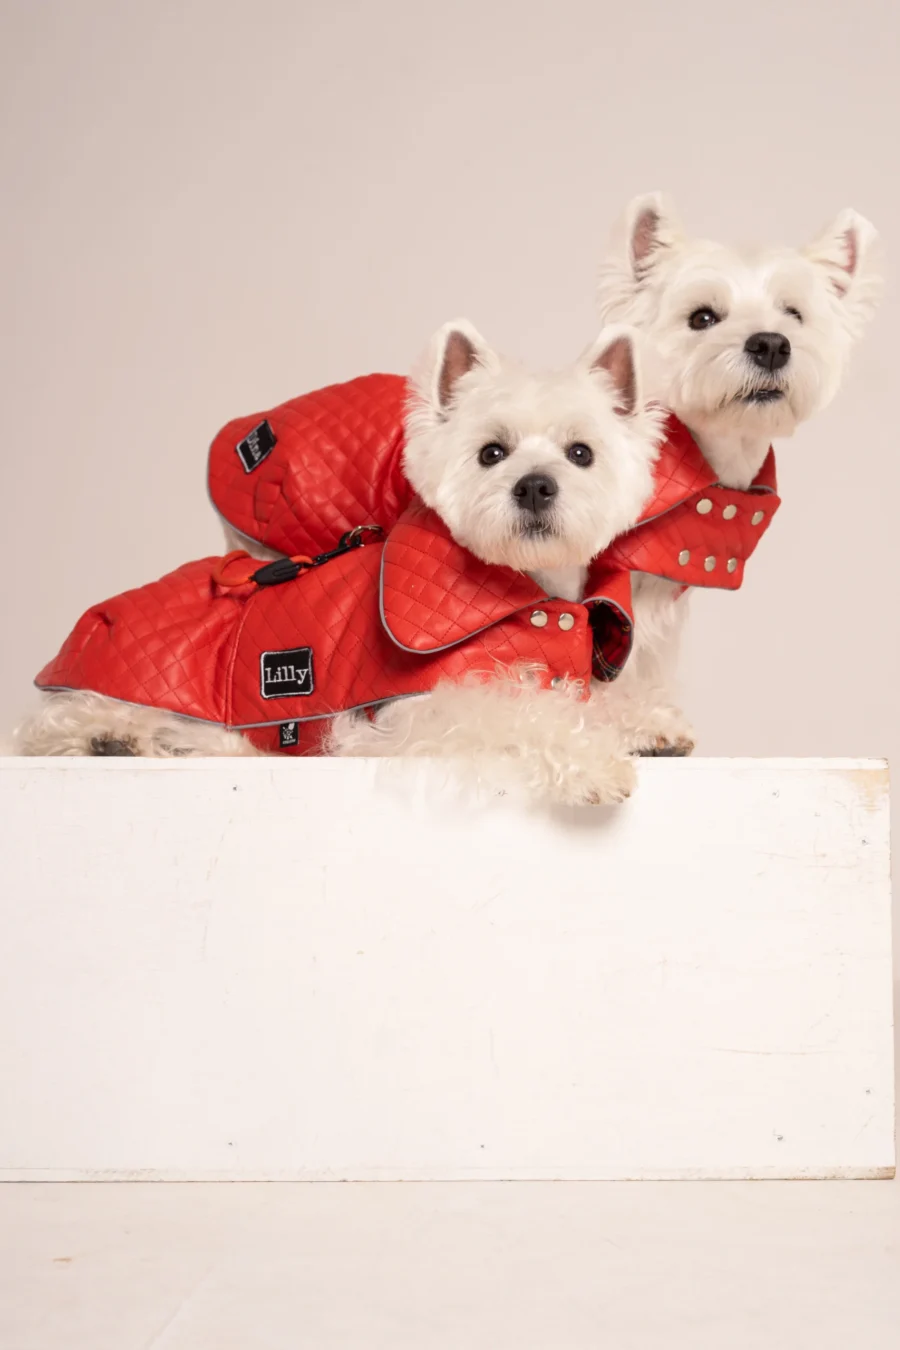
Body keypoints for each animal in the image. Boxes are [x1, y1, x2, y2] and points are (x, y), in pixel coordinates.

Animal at [19, 321, 669, 804]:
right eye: (491, 452)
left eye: (581, 452)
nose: (534, 486)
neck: (527, 590)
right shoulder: (416, 714)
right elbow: (520, 711)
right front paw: (595, 762)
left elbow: (595, 700)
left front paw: (650, 726)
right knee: (50, 729)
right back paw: (117, 740)